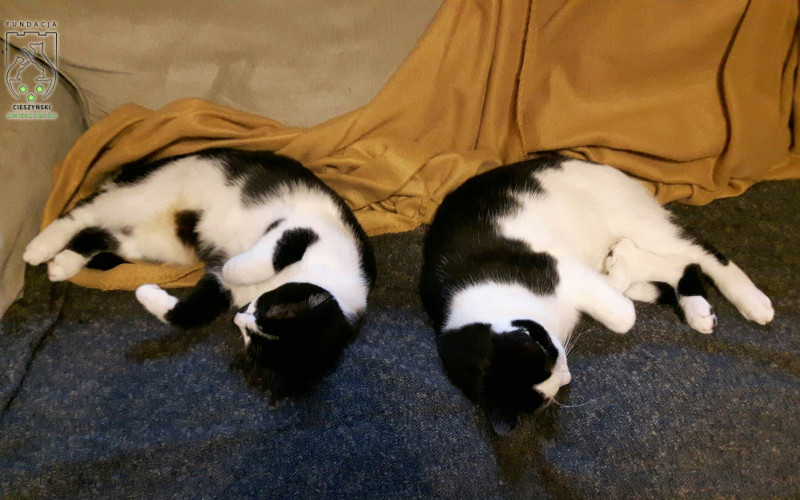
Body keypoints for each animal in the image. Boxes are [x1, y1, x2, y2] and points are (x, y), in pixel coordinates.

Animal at [24, 148, 377, 395]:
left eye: (251, 341)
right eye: (271, 308)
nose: (238, 318)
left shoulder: (220, 288)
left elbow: (195, 311)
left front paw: (147, 295)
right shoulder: (301, 230)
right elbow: (264, 258)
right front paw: (235, 265)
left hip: (156, 243)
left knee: (98, 235)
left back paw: (64, 263)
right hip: (144, 195)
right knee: (83, 212)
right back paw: (39, 248)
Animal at [420, 155, 774, 433]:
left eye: (550, 353)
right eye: (551, 388)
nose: (567, 377)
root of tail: (592, 162)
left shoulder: (562, 268)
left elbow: (623, 314)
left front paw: (621, 263)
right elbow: (630, 290)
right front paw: (626, 265)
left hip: (640, 222)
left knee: (703, 253)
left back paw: (751, 301)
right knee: (680, 264)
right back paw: (696, 308)